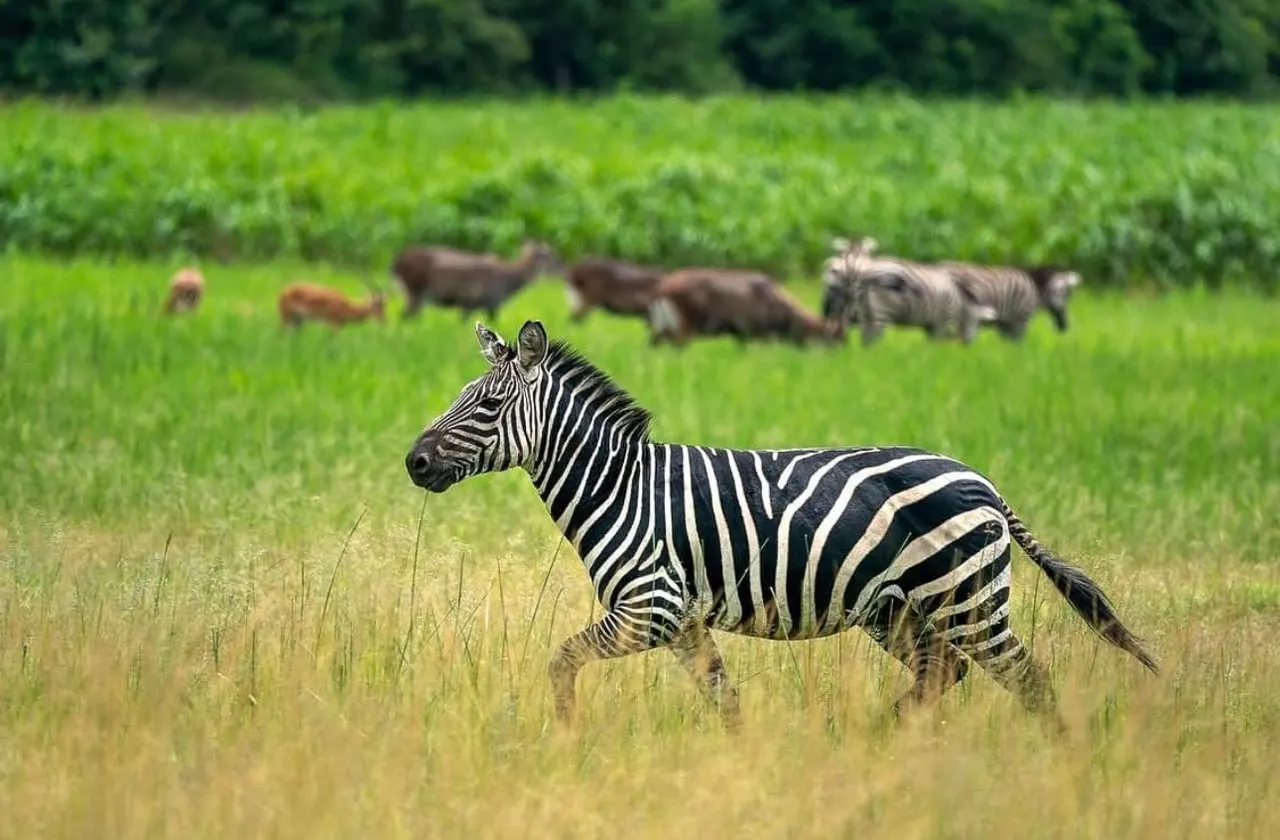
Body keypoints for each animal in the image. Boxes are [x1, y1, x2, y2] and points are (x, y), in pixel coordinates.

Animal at [404, 320, 1159, 730]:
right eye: (465, 397)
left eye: (489, 405)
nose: (414, 462)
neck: (618, 487)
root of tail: (985, 483)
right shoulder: (682, 621)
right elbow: (725, 700)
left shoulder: (651, 607)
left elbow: (560, 662)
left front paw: (566, 739)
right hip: (894, 608)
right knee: (943, 673)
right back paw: (872, 743)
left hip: (965, 599)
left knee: (1025, 680)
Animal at [822, 240, 997, 347]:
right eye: (978, 324)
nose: (968, 347)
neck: (960, 302)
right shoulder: (941, 320)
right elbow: (939, 343)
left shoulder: (931, 323)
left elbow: (932, 346)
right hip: (880, 313)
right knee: (870, 339)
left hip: (865, 311)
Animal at [942, 261, 1082, 340]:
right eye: (1065, 296)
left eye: (1069, 297)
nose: (1064, 326)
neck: (1035, 287)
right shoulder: (1021, 320)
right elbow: (1019, 349)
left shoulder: (1006, 323)